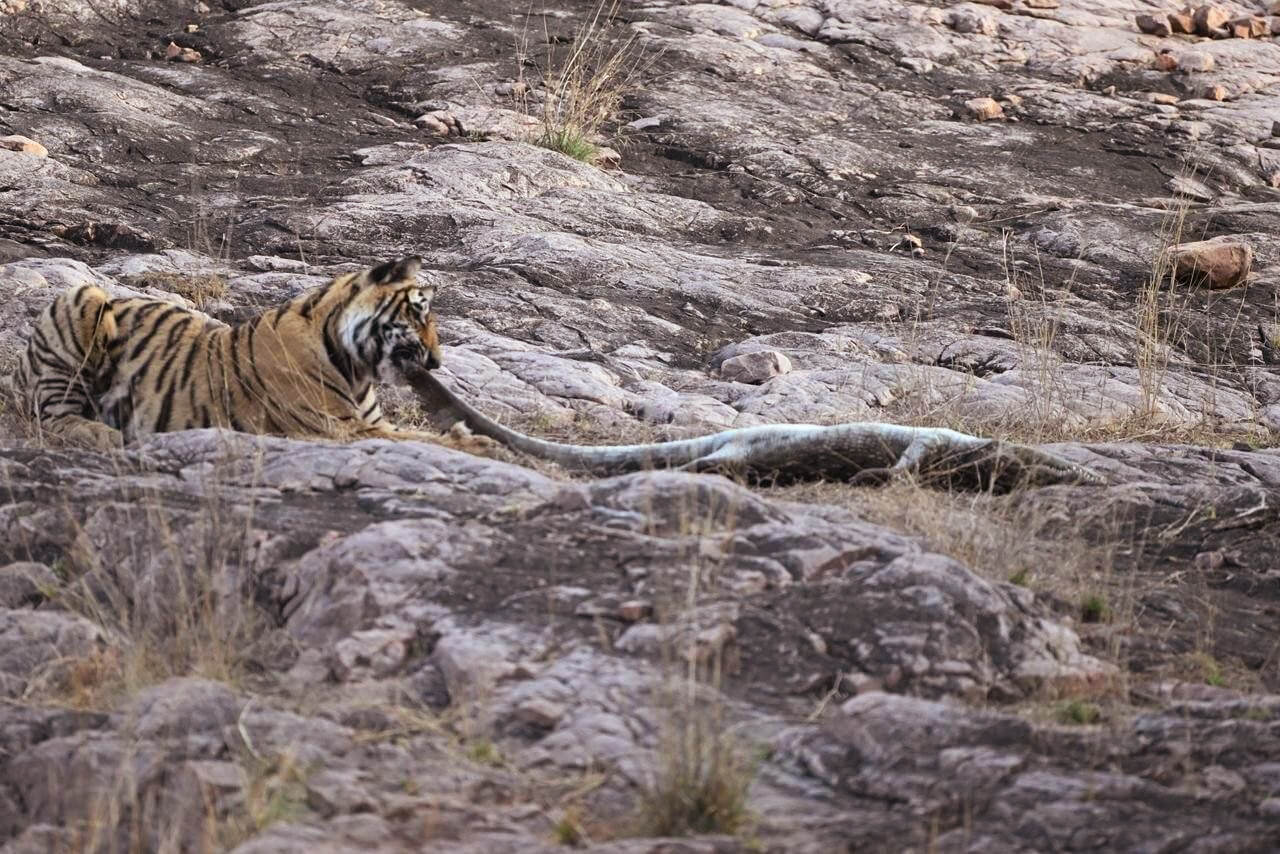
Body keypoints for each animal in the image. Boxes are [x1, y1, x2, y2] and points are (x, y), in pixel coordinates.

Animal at [15, 256, 445, 450]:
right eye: (418, 313)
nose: (437, 362)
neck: (355, 365)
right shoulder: (340, 428)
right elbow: (428, 440)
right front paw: (464, 442)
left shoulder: (368, 423)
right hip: (84, 296)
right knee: (52, 416)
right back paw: (101, 433)